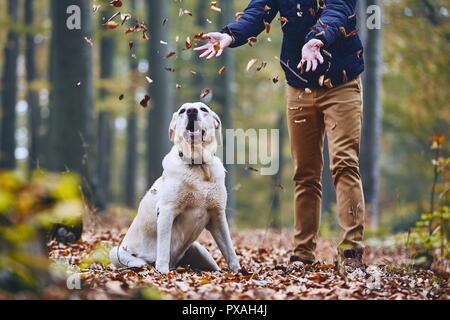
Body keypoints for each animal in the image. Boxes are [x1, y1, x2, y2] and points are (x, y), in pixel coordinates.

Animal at [109, 102, 241, 272]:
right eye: (182, 111)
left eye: (203, 109)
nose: (191, 111)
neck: (199, 166)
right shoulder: (167, 210)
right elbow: (164, 249)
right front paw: (163, 272)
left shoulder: (217, 215)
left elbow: (230, 250)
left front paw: (239, 272)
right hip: (116, 251)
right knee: (136, 260)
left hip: (199, 248)